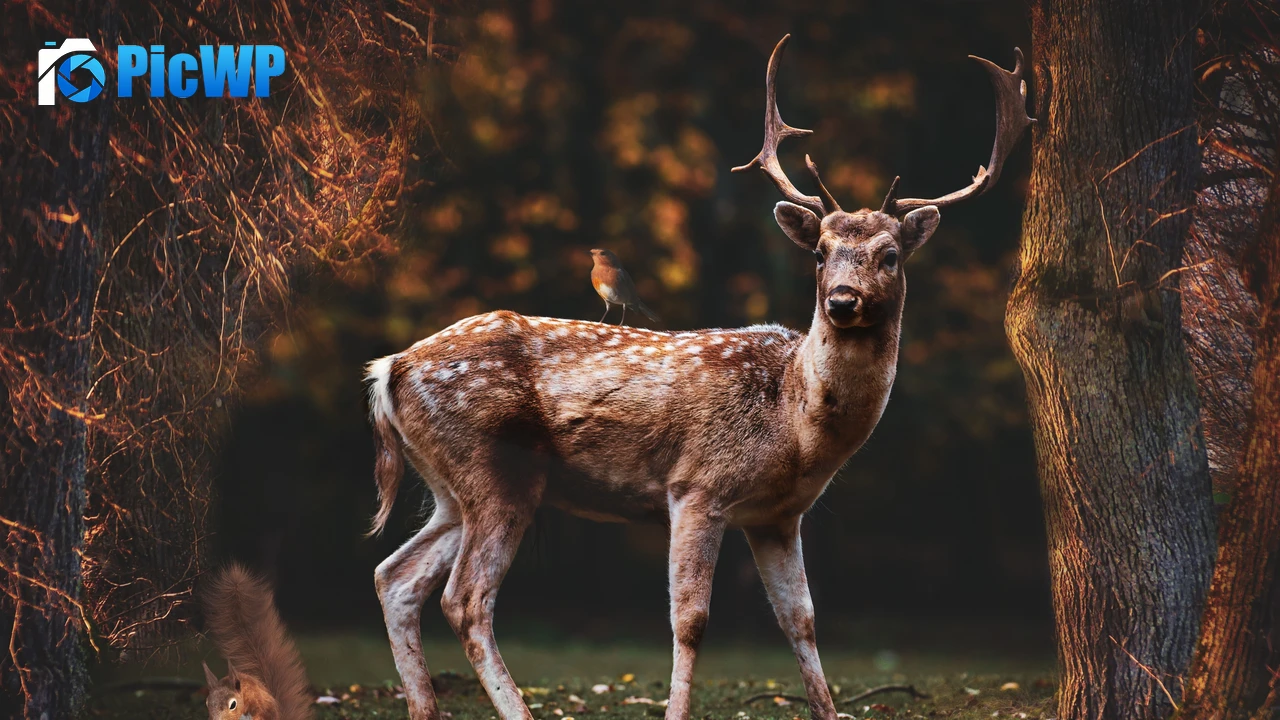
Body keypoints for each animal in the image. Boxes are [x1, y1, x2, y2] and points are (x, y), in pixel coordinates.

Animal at [365, 35, 1033, 720]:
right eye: (820, 251)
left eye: (890, 255)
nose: (842, 300)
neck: (794, 423)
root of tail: (389, 370)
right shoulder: (696, 486)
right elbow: (690, 621)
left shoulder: (777, 516)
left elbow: (801, 619)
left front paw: (829, 709)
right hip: (495, 468)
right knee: (465, 598)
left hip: (452, 486)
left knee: (395, 576)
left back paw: (424, 706)